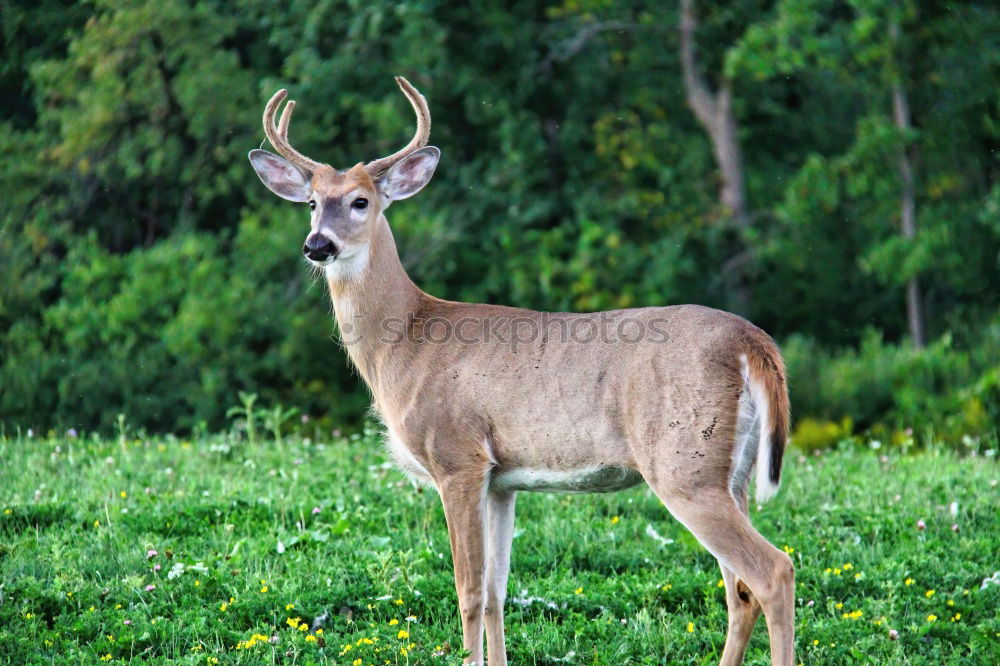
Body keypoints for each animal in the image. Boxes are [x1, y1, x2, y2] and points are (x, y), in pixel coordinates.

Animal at [246, 75, 792, 660]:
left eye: (360, 201)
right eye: (310, 202)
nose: (317, 245)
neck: (407, 340)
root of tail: (755, 342)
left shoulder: (457, 457)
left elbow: (466, 590)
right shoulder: (501, 481)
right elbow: (495, 593)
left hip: (684, 464)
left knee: (773, 572)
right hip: (729, 472)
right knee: (740, 590)